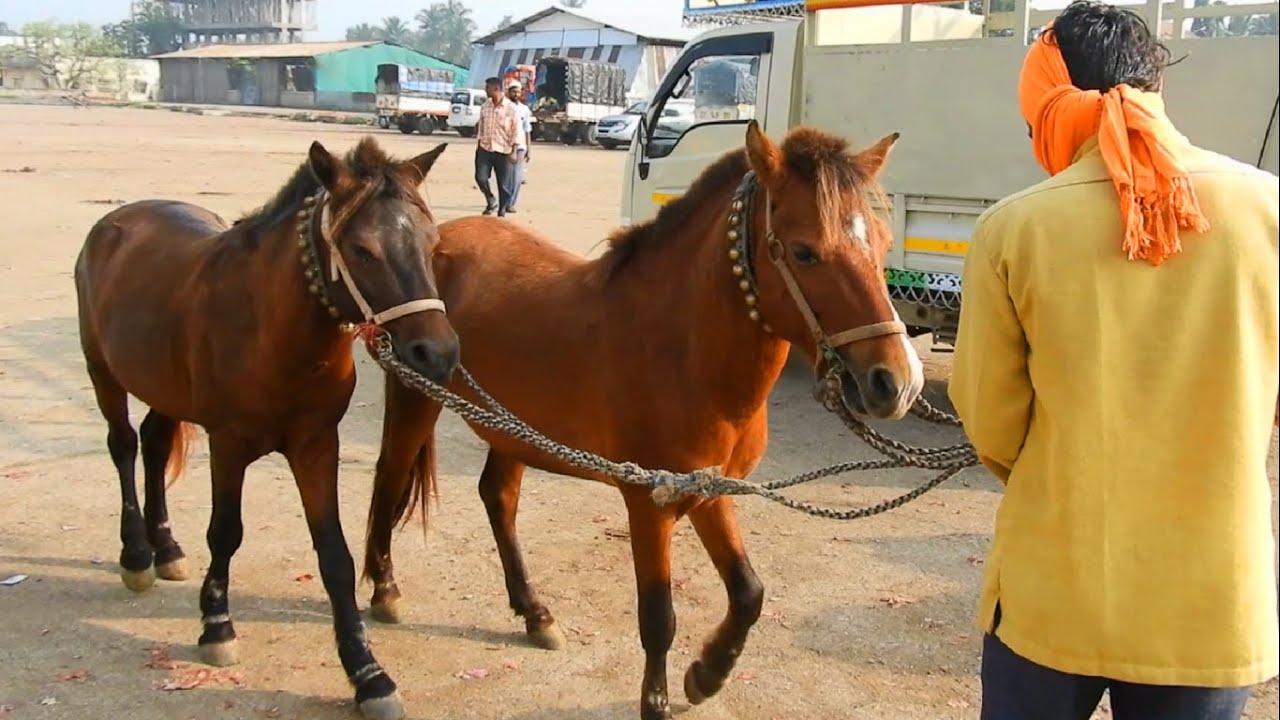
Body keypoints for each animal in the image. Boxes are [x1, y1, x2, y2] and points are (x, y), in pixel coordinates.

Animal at [74, 136, 458, 720]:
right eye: (362, 249)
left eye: (432, 242)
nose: (436, 353)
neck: (272, 332)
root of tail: (116, 222)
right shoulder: (228, 444)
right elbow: (225, 532)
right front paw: (216, 626)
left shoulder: (316, 445)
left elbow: (335, 555)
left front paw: (368, 674)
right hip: (103, 371)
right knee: (123, 445)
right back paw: (137, 555)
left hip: (166, 387)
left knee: (156, 444)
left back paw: (167, 550)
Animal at [362, 120, 924, 720]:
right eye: (804, 252)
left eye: (883, 245)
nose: (897, 381)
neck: (680, 350)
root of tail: (434, 240)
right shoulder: (648, 505)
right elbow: (659, 618)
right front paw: (658, 700)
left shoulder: (711, 491)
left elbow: (748, 593)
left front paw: (707, 674)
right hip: (416, 399)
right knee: (390, 479)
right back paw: (385, 591)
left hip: (511, 428)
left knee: (498, 498)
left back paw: (536, 614)